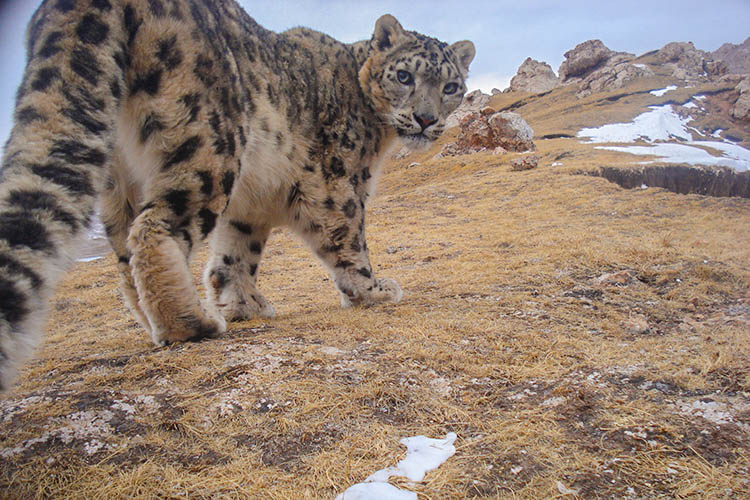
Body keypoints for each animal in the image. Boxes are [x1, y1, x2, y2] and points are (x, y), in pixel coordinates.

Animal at [0, 0, 476, 390]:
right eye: (404, 75)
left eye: (451, 87)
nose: (426, 118)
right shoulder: (338, 184)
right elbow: (348, 238)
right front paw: (373, 289)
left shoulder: (250, 207)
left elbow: (234, 255)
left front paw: (243, 304)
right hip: (207, 143)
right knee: (154, 228)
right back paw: (191, 323)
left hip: (119, 181)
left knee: (124, 257)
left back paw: (160, 323)